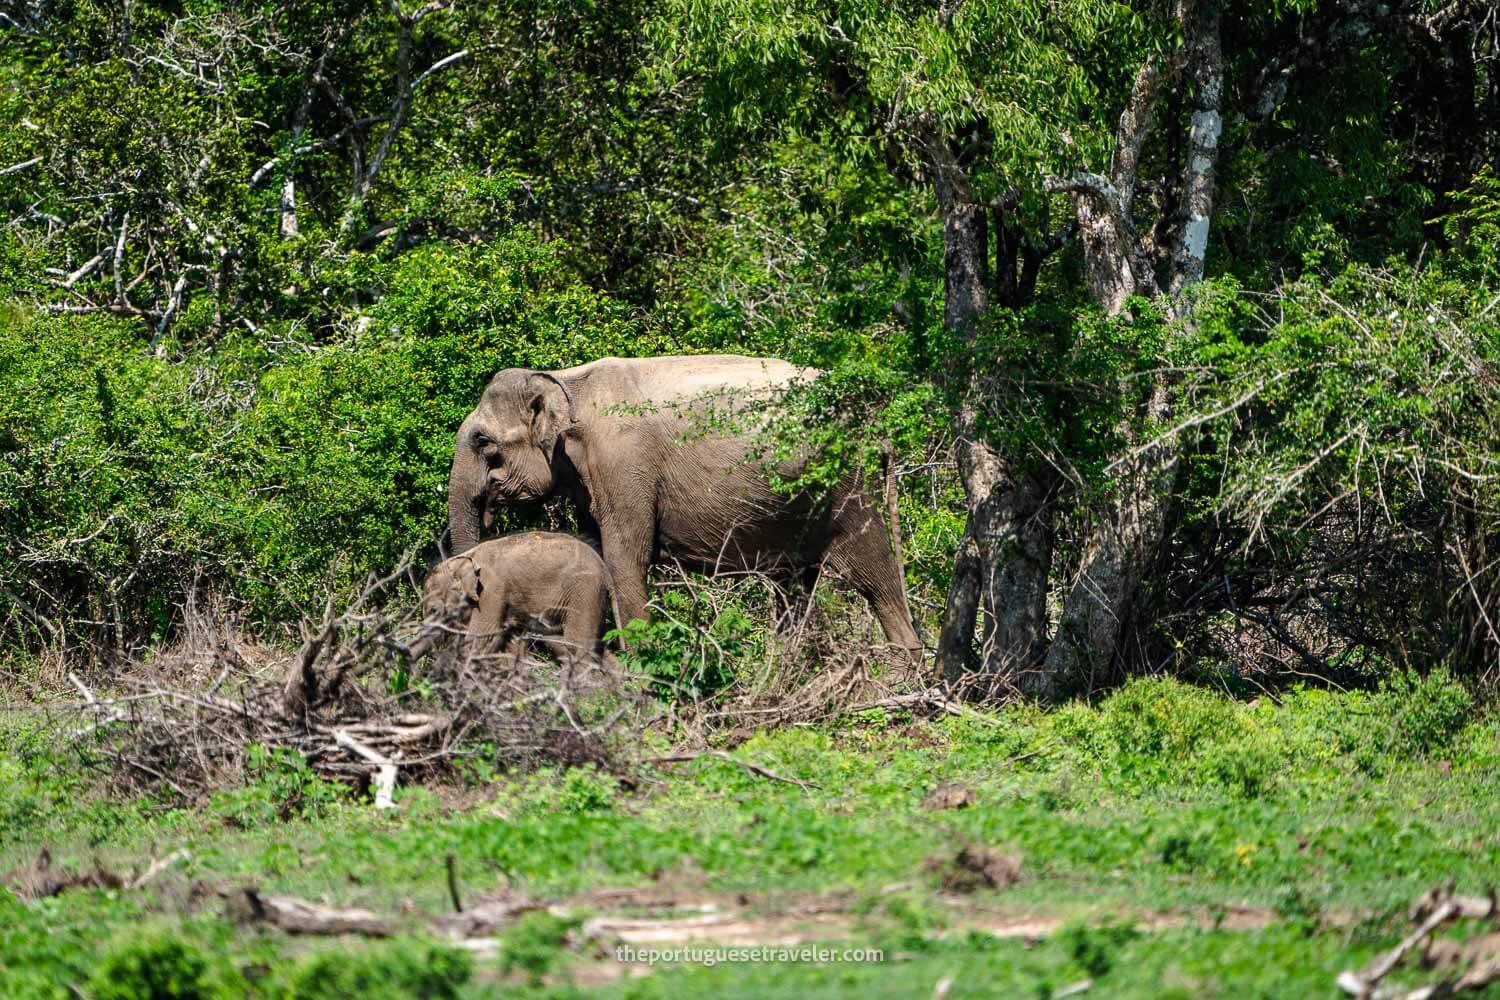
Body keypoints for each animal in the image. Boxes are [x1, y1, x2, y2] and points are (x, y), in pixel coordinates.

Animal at [410, 531, 616, 673]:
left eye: (434, 610)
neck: (463, 559)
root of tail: (605, 569)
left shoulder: (491, 591)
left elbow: (482, 636)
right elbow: (512, 643)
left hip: (584, 591)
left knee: (577, 644)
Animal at [446, 354, 923, 661]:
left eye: (483, 442)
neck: (564, 381)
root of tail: (875, 422)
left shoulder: (624, 468)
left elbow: (625, 561)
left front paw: (644, 668)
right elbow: (595, 551)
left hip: (849, 484)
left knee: (875, 573)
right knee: (795, 586)